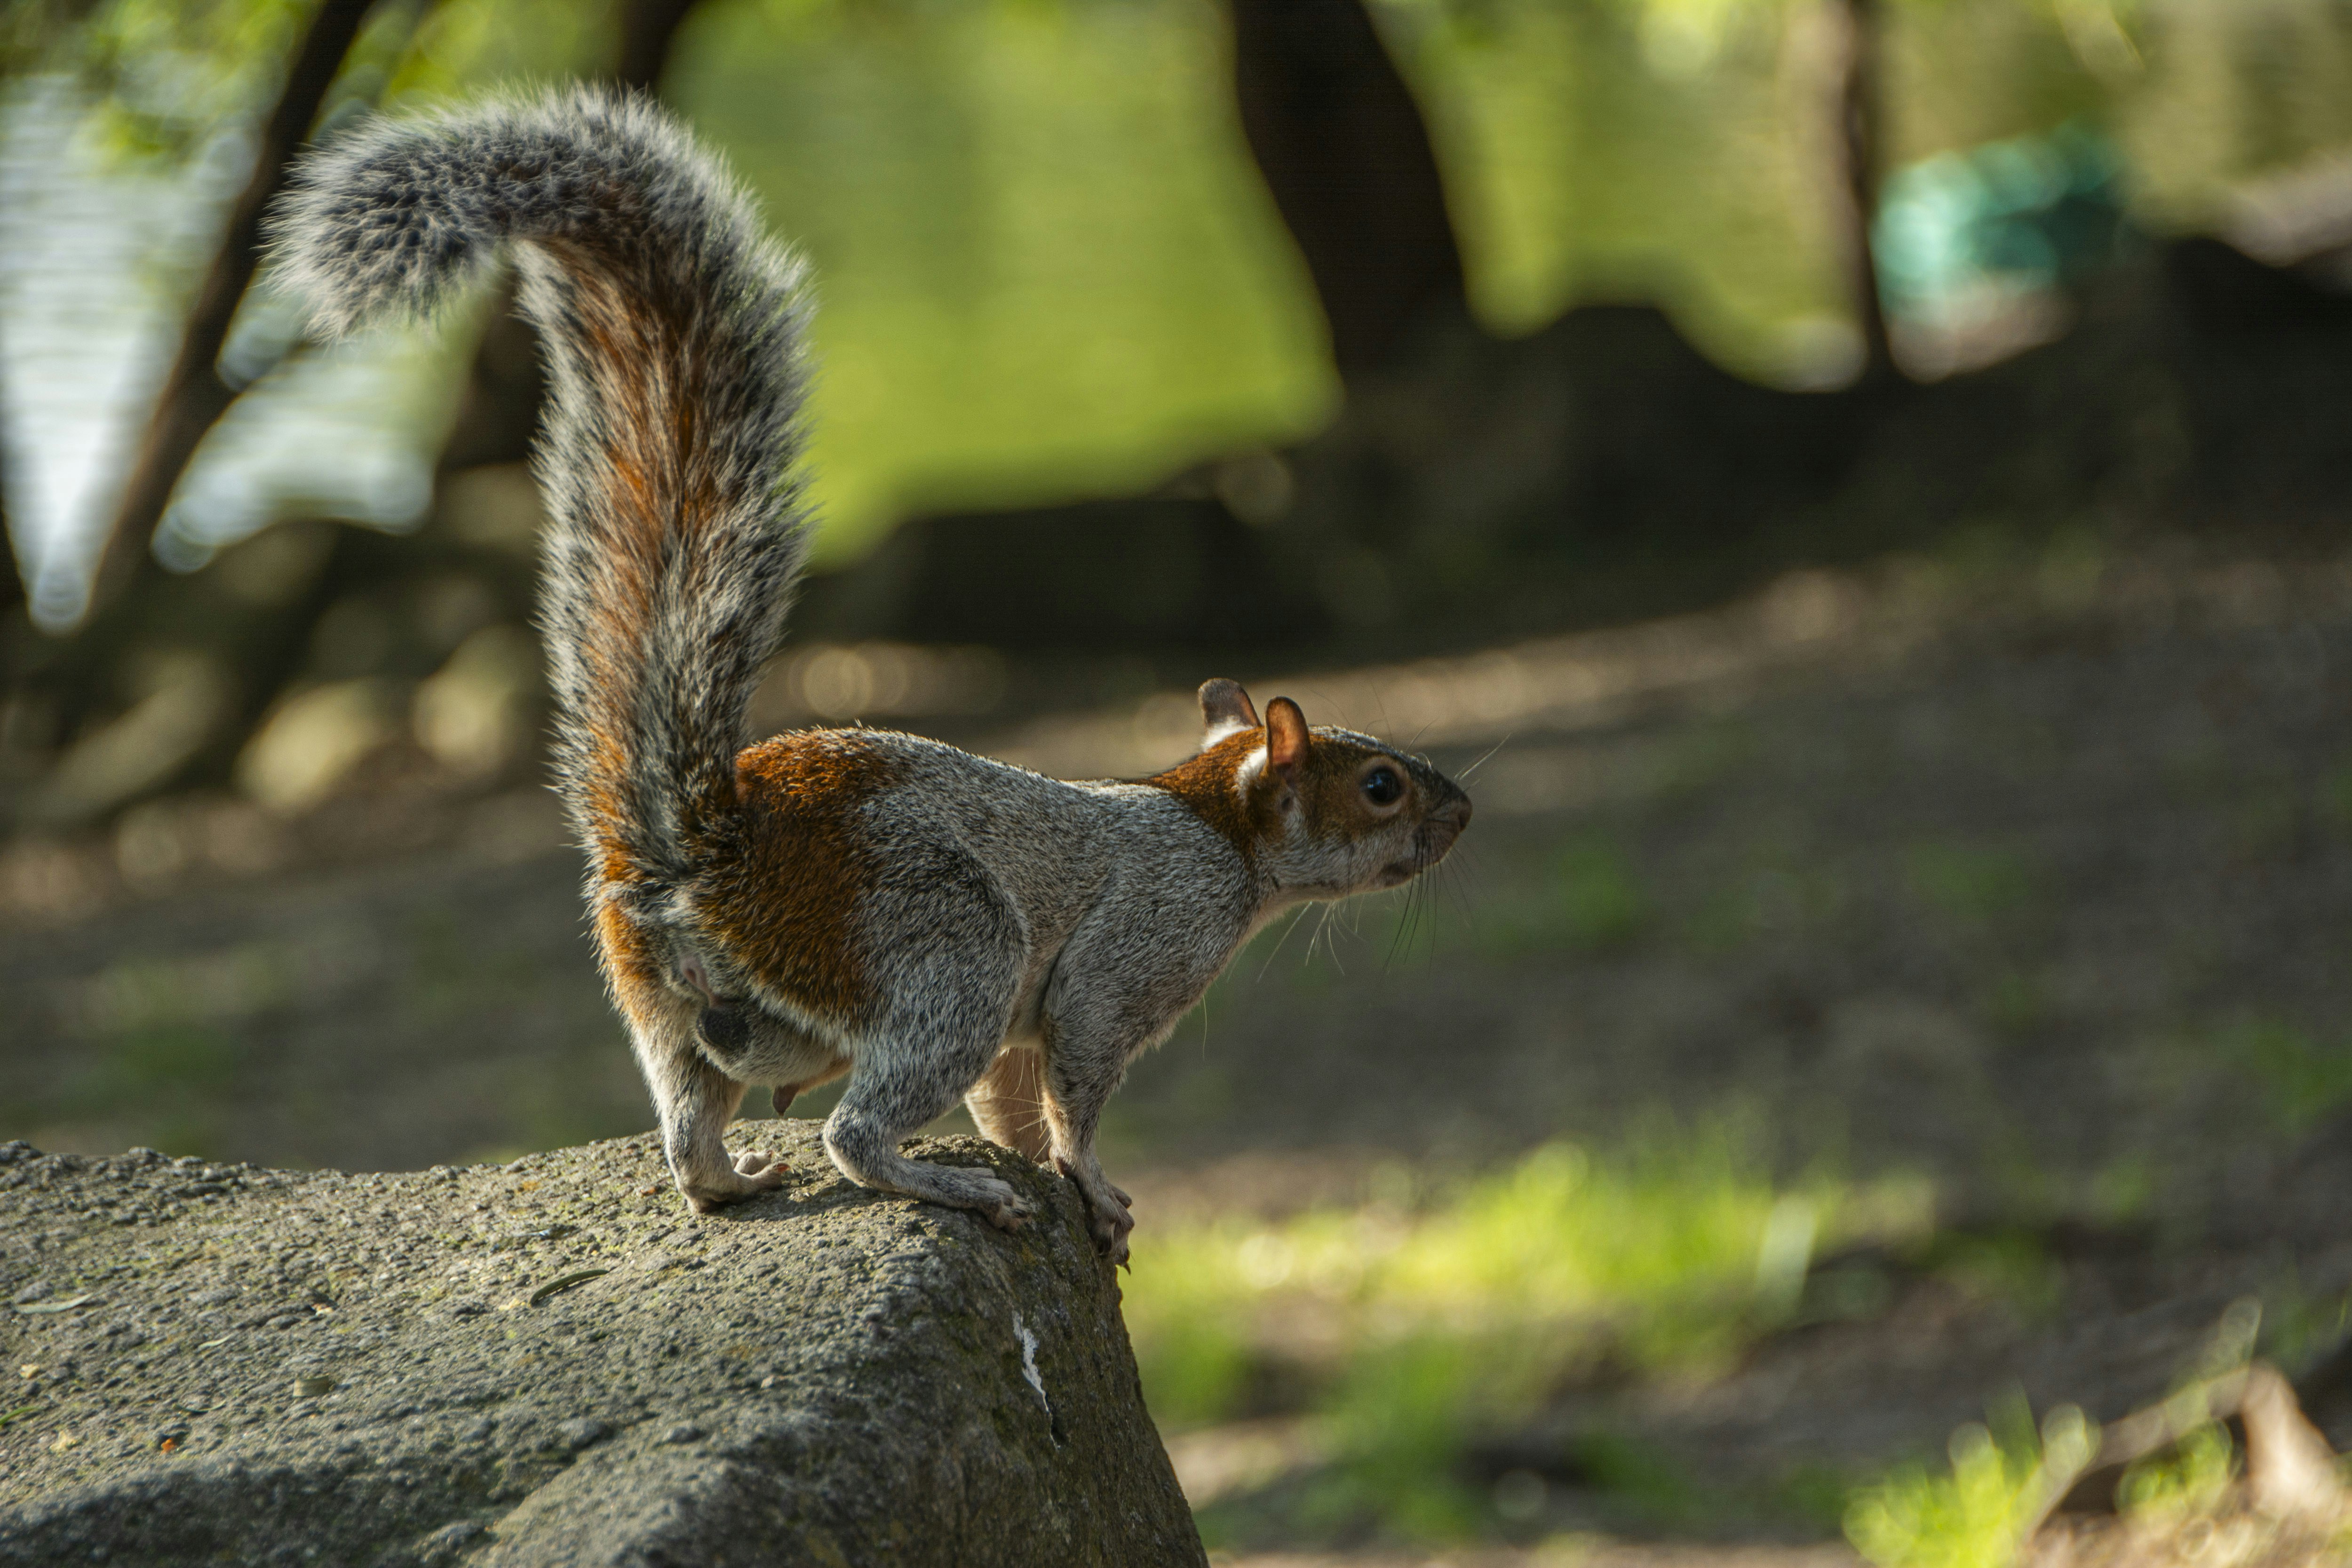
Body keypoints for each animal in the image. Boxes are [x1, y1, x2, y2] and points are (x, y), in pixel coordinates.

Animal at [269, 87, 1471, 1262]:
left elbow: (1010, 1101)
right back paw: (946, 1185)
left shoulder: (1026, 1030)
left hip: (663, 1003)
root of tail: (704, 852)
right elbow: (1075, 1084)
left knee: (692, 1134)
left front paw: (1038, 1165)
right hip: (949, 943)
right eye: (1379, 785)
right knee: (855, 1130)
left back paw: (744, 1176)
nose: (1463, 813)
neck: (1214, 823)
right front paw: (1081, 1181)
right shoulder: (1136, 945)